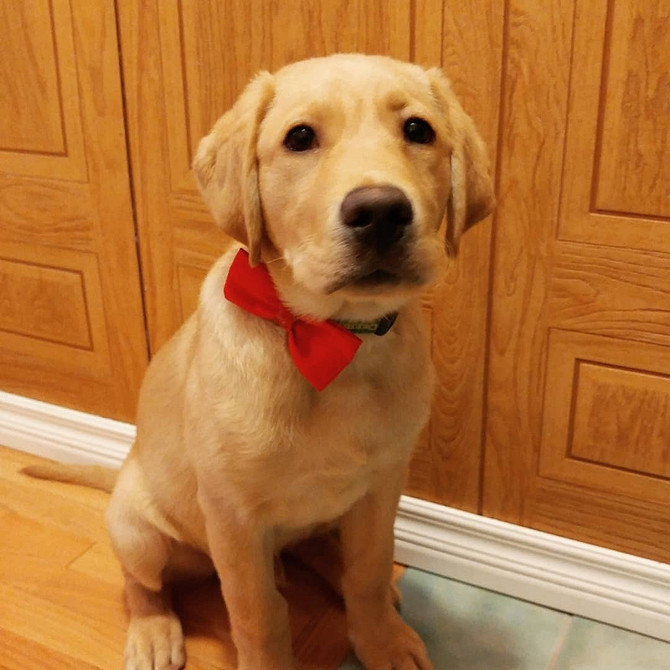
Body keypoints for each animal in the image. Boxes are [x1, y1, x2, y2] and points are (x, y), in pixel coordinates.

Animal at [25, 54, 494, 669]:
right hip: (138, 532)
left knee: (325, 555)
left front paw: (381, 640)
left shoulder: (381, 488)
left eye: (418, 130)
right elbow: (258, 613)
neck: (331, 338)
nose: (381, 211)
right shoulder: (234, 520)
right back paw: (153, 631)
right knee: (143, 582)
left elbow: (368, 571)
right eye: (300, 138)